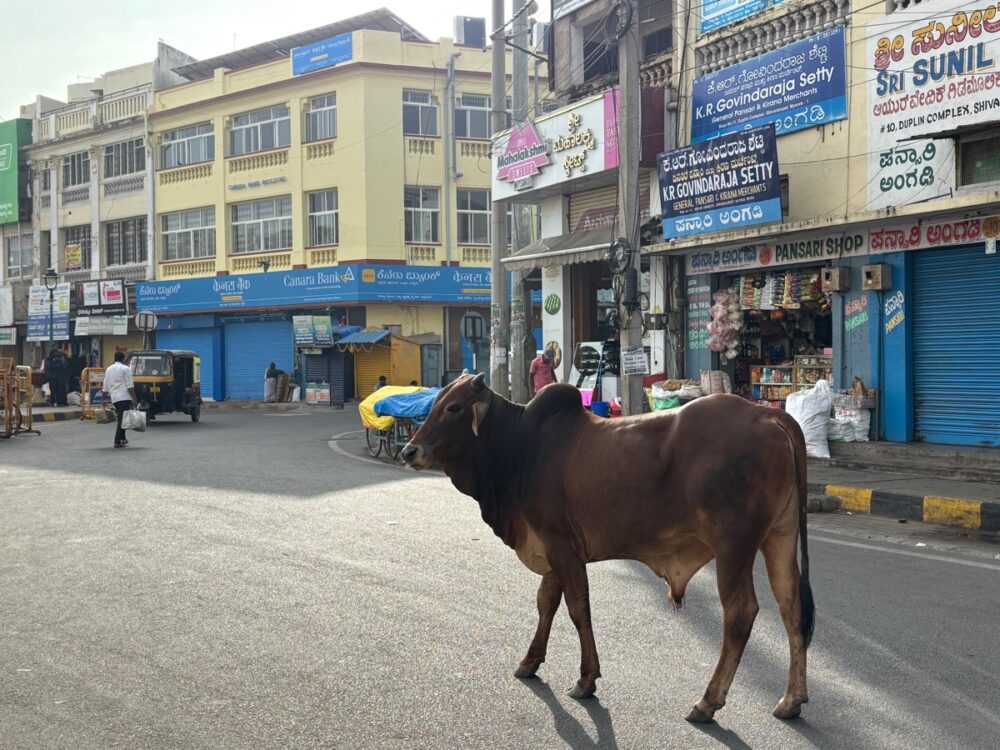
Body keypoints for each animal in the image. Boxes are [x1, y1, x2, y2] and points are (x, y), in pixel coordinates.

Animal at [402, 374, 816, 724]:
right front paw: (530, 660)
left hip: (734, 545)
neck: (520, 448)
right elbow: (545, 604)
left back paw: (707, 702)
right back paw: (791, 700)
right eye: (436, 402)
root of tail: (768, 414)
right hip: (779, 537)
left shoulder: (561, 546)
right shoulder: (552, 549)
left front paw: (587, 680)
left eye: (454, 408)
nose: (409, 451)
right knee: (792, 609)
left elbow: (577, 609)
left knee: (741, 614)